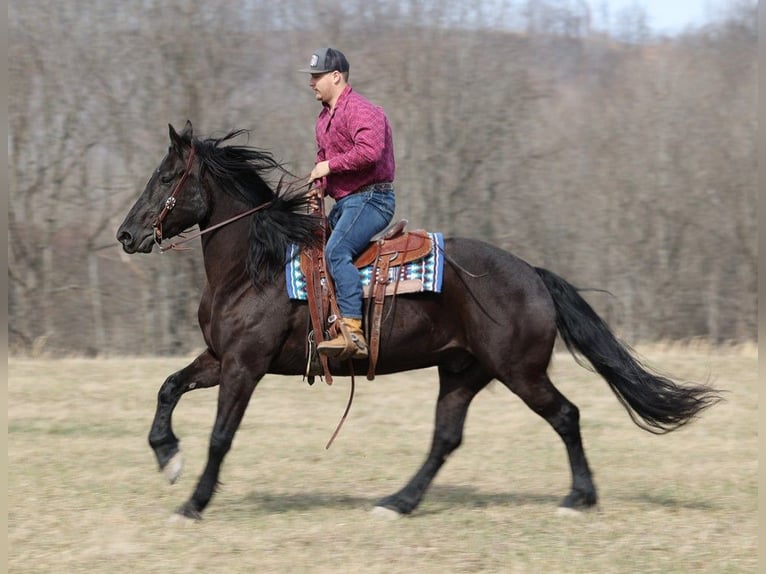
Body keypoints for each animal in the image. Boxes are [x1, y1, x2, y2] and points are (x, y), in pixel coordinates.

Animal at [115, 124, 720, 524]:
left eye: (166, 177)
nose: (126, 234)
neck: (253, 266)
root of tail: (532, 274)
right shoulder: (219, 358)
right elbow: (168, 388)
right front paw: (168, 457)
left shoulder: (246, 365)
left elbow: (221, 435)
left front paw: (192, 502)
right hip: (462, 371)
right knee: (446, 437)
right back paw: (399, 502)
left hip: (519, 370)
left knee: (565, 415)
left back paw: (578, 497)